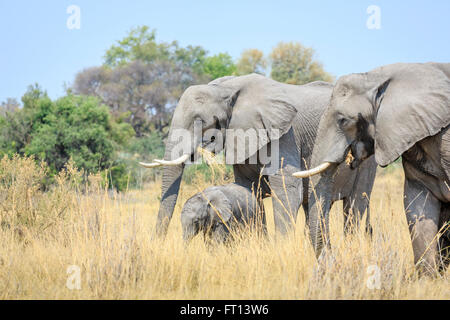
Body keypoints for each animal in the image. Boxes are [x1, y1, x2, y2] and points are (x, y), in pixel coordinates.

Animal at [139, 74, 378, 240]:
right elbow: (248, 190)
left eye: (199, 121)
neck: (226, 88)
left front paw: (281, 249)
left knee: (355, 205)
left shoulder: (285, 134)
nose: (156, 244)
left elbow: (287, 188)